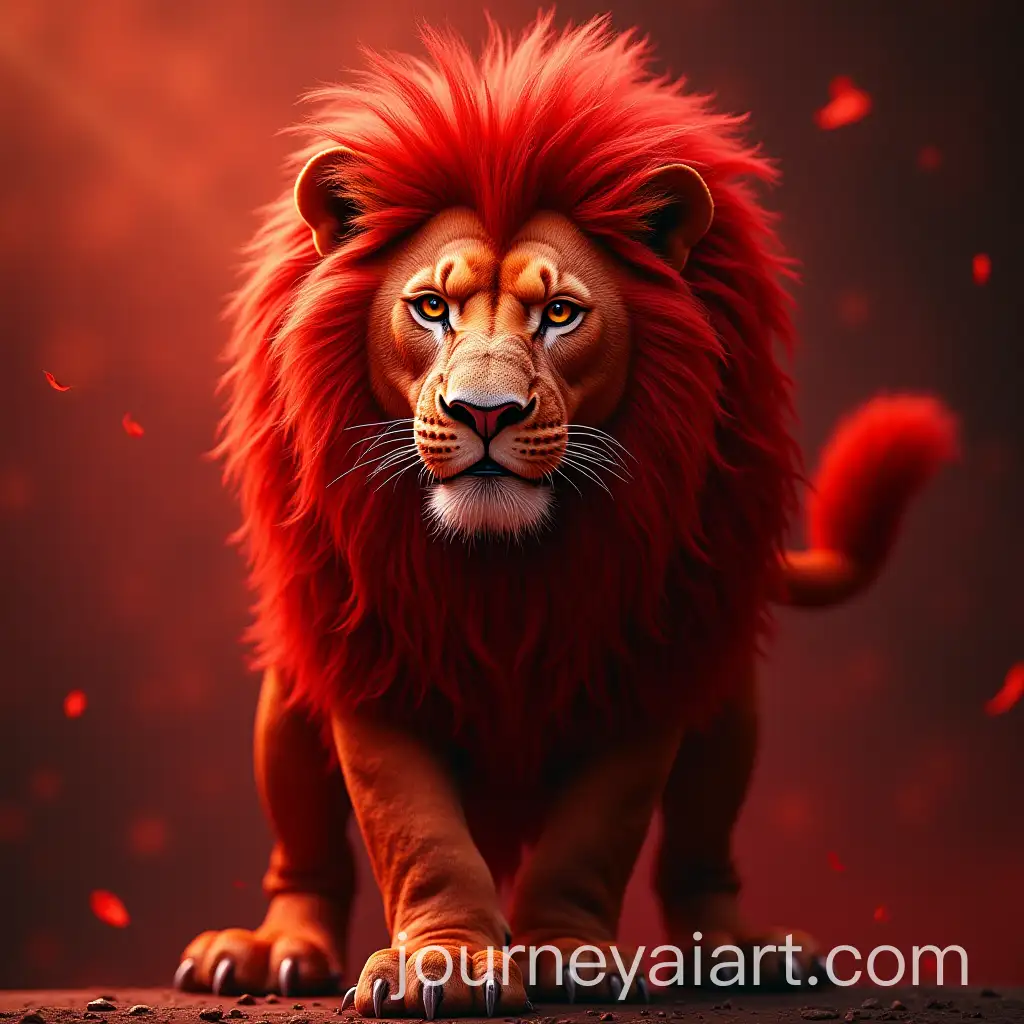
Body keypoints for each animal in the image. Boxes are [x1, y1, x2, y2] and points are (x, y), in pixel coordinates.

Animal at [173, 14, 958, 1017]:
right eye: (430, 307)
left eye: (558, 314)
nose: (485, 413)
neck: (505, 570)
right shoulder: (375, 648)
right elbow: (414, 828)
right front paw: (449, 963)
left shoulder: (647, 657)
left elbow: (595, 834)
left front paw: (565, 956)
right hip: (285, 709)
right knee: (303, 851)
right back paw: (269, 952)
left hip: (728, 707)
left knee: (701, 851)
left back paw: (741, 951)